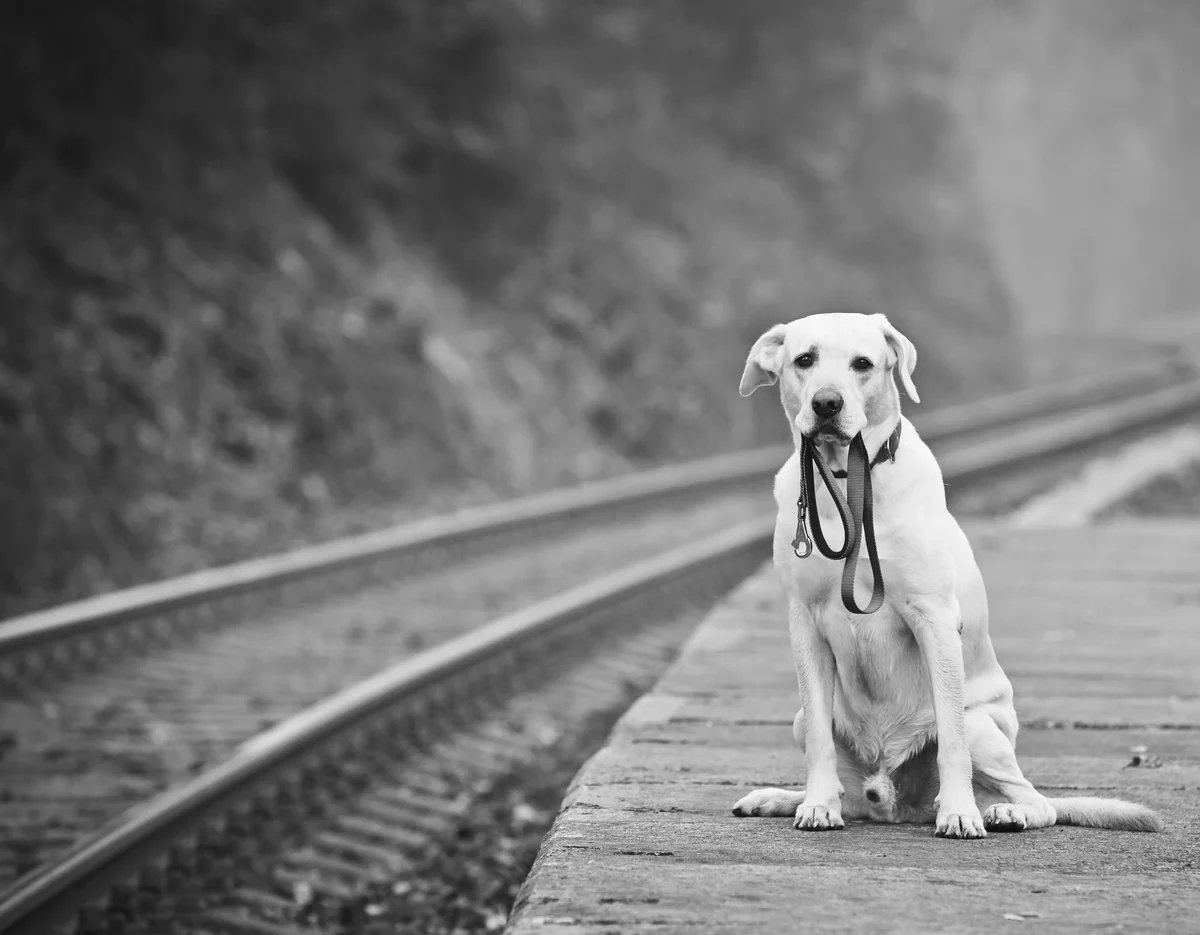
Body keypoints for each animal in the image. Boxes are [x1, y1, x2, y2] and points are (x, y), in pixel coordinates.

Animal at [729, 309, 1161, 835]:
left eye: (863, 363)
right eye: (804, 360)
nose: (826, 402)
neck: (850, 483)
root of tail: (896, 803)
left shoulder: (933, 618)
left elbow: (951, 741)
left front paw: (958, 812)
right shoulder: (805, 622)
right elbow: (819, 742)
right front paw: (815, 804)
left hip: (985, 729)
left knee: (1037, 800)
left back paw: (1001, 811)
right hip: (804, 723)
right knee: (844, 785)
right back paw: (782, 798)